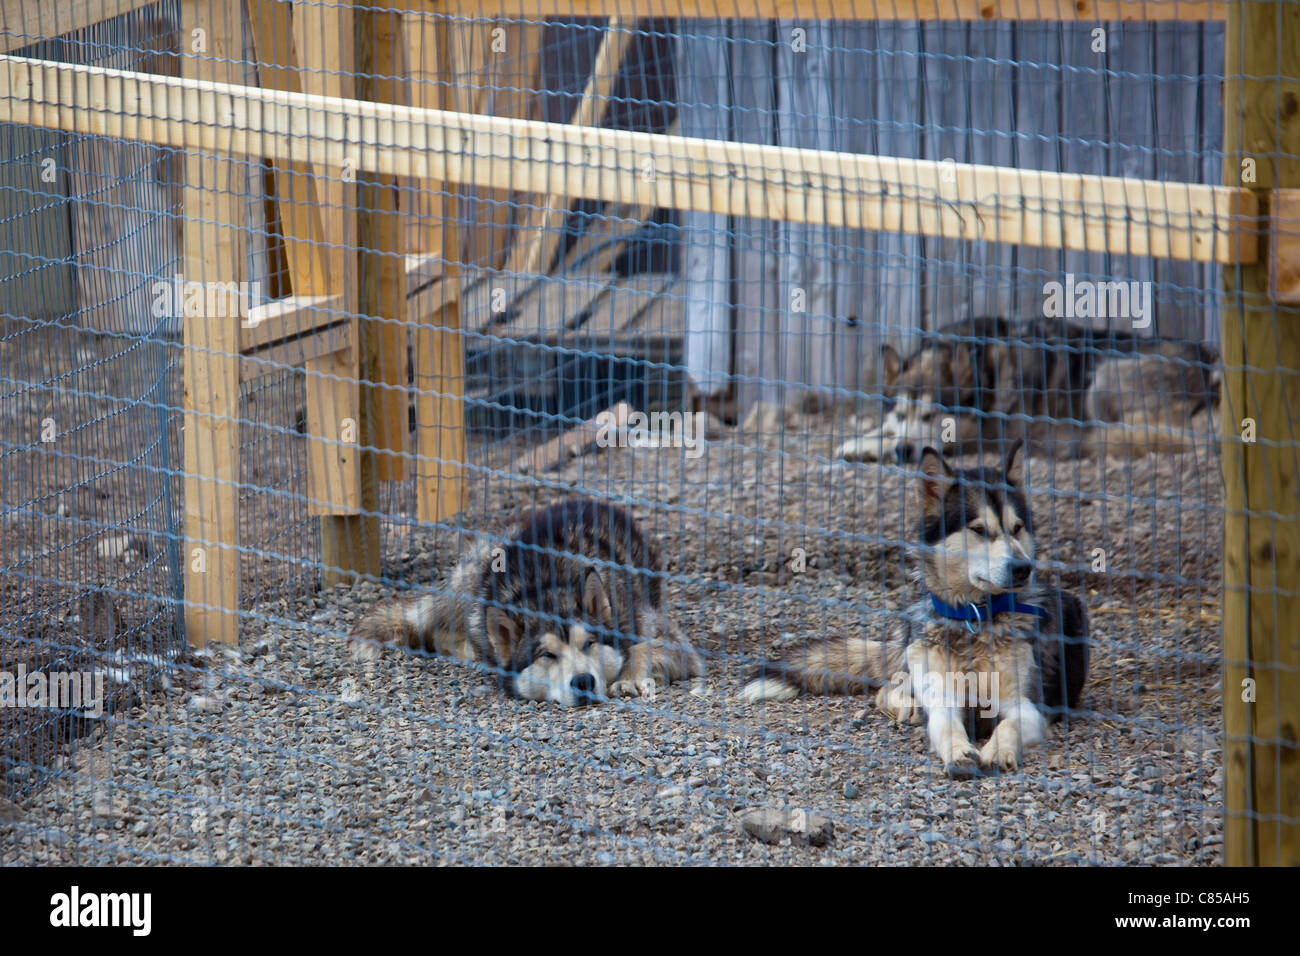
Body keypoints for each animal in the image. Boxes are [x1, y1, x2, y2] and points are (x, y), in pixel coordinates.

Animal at [348, 496, 702, 707]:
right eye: (547, 655)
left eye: (589, 644)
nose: (583, 681)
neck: (546, 585)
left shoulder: (675, 643)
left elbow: (644, 646)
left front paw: (628, 677)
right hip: (475, 580)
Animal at [743, 442, 1086, 780]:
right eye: (978, 529)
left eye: (1017, 528)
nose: (1022, 568)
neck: (973, 619)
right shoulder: (943, 700)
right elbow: (945, 725)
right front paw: (959, 752)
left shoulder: (1028, 706)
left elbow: (1009, 724)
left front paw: (999, 750)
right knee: (888, 688)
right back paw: (905, 705)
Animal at [832, 319, 1216, 465]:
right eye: (900, 413)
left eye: (930, 416)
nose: (903, 452)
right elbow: (880, 429)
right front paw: (858, 441)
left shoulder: (980, 437)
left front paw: (870, 447)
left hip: (1102, 380)